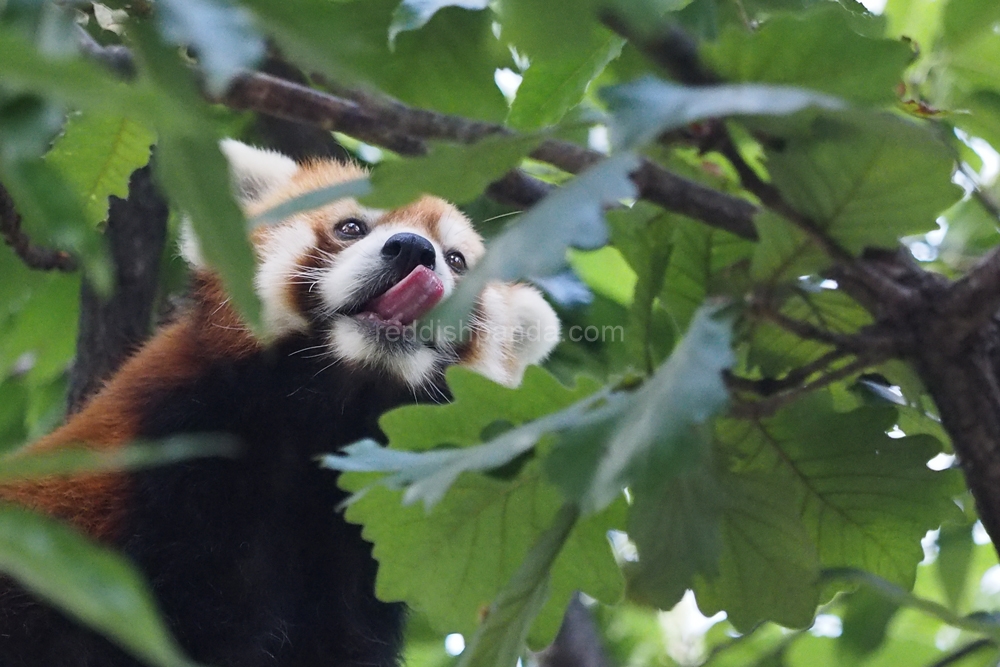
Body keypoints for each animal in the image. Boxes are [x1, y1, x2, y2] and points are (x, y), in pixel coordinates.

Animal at [0, 141, 564, 667]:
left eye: (456, 260)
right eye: (351, 227)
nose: (412, 250)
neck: (323, 414)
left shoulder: (356, 562)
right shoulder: (176, 460)